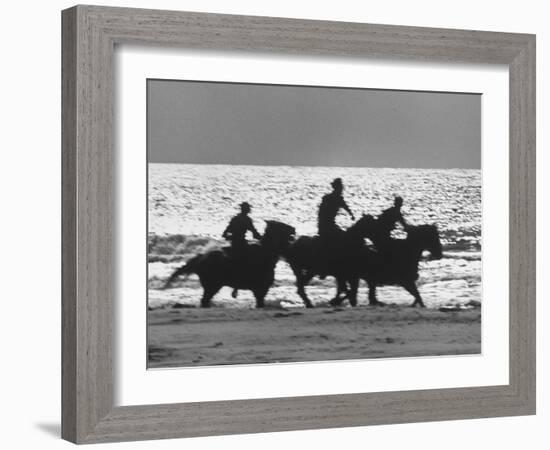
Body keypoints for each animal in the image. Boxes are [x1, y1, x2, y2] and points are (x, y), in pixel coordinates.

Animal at [164, 221, 298, 308]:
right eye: (281, 226)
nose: (294, 229)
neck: (265, 254)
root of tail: (201, 258)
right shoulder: (260, 289)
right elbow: (260, 302)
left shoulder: (260, 290)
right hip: (212, 286)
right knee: (205, 300)